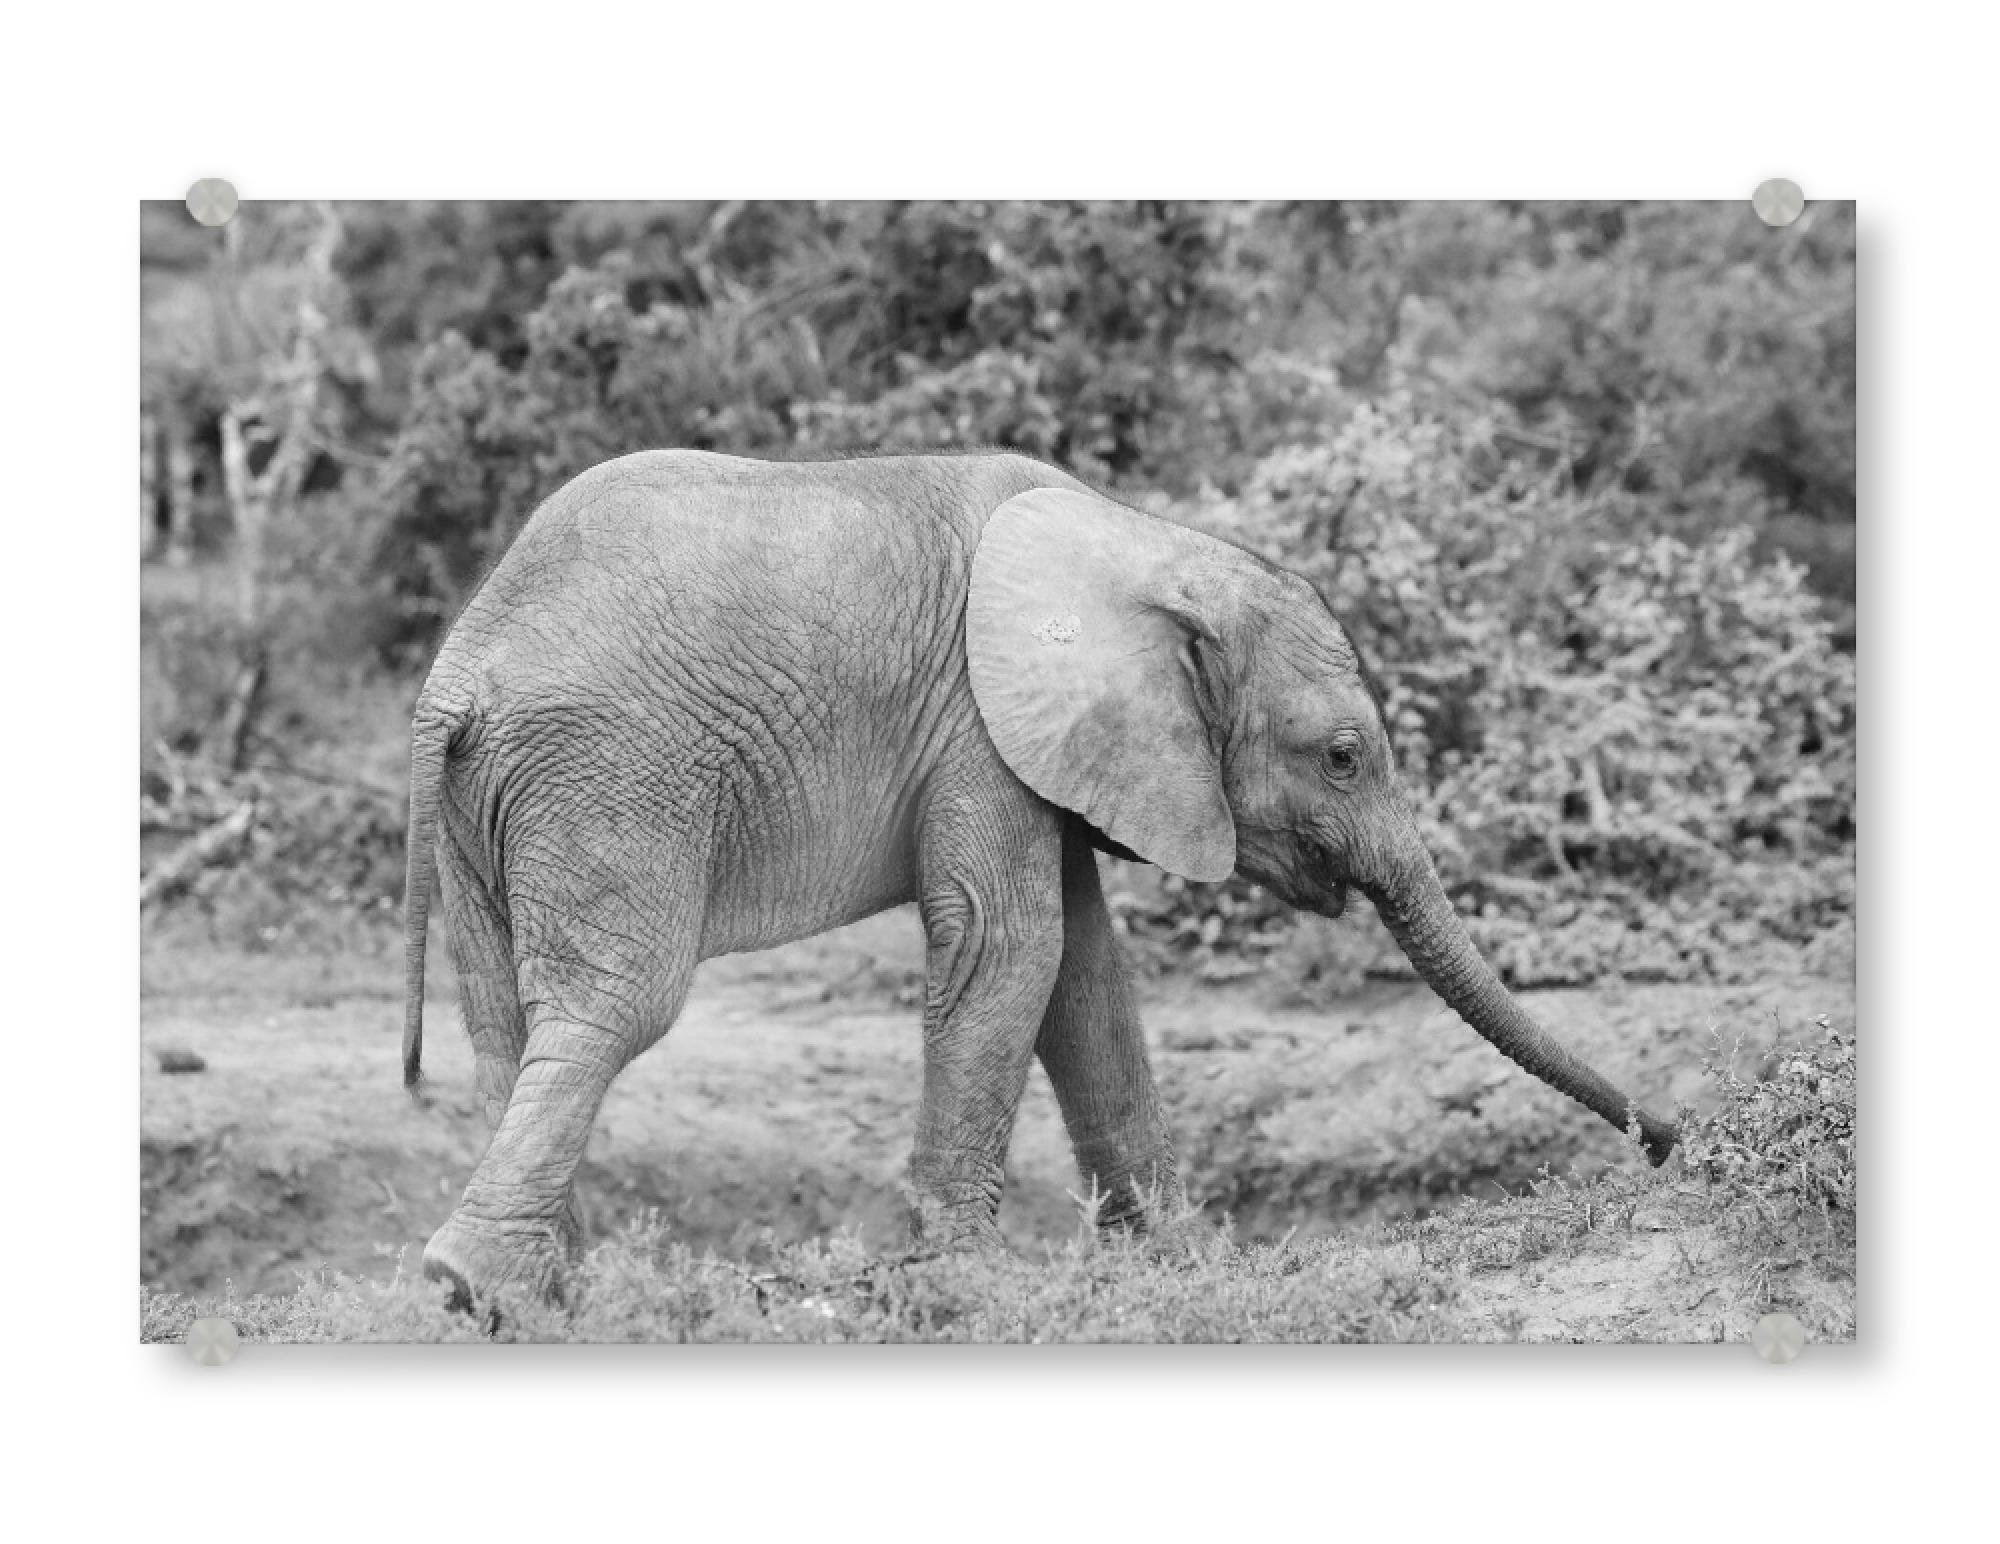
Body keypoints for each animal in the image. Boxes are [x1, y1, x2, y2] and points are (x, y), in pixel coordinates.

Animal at [400, 448, 1677, 1307]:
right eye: (1341, 755)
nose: (1674, 1139)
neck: (1144, 544)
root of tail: (460, 673)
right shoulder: (978, 722)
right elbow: (1007, 947)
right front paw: (958, 1279)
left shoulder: (1041, 743)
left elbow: (1086, 978)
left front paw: (1175, 1261)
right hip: (610, 770)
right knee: (616, 1005)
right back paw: (472, 1284)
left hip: (496, 804)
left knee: (501, 1016)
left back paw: (538, 1297)